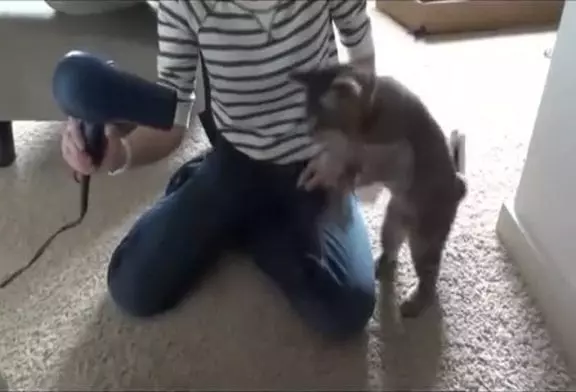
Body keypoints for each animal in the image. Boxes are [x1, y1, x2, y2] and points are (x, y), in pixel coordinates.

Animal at [294, 63, 466, 316]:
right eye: (307, 117)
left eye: (318, 122)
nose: (309, 133)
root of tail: (458, 185)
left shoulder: (393, 149)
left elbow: (356, 159)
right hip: (392, 223)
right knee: (392, 250)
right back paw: (383, 264)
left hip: (425, 239)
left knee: (429, 278)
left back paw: (416, 301)